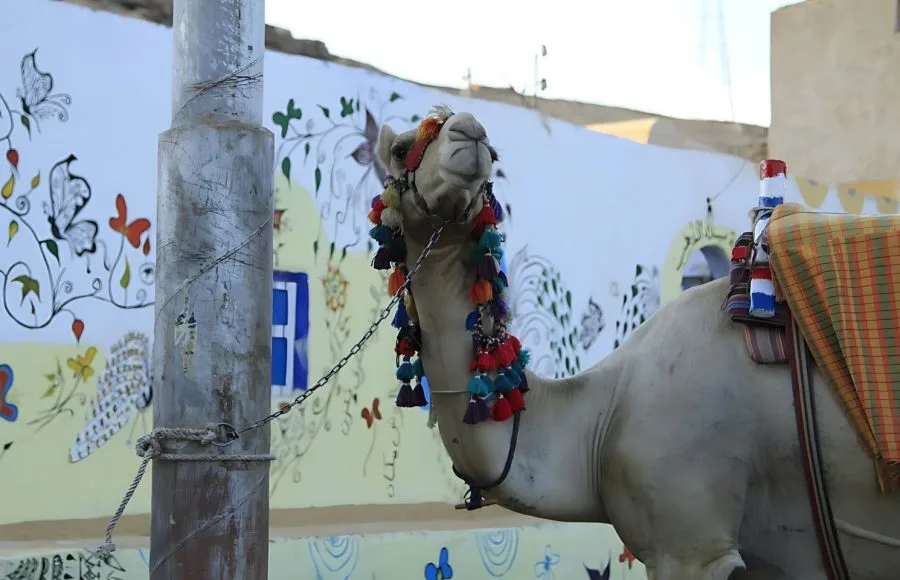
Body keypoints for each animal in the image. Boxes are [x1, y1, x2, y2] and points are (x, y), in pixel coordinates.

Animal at [368, 106, 900, 579]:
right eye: (400, 148)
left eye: (493, 152)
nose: (471, 131)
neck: (602, 417)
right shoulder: (775, 558)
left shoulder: (690, 542)